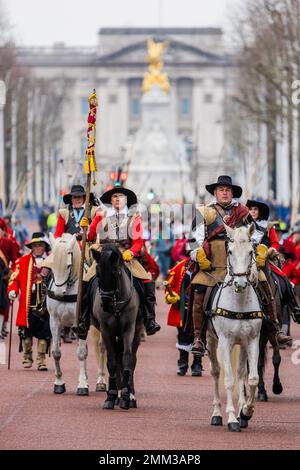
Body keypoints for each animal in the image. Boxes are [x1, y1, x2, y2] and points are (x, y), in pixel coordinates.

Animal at [91, 244, 144, 410]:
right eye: (98, 273)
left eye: (115, 273)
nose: (106, 304)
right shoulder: (106, 331)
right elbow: (112, 362)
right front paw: (112, 396)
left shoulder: (128, 329)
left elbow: (127, 359)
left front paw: (127, 396)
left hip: (136, 332)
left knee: (131, 360)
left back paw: (129, 395)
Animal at [207, 224, 262, 434]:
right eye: (229, 251)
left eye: (251, 251)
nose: (240, 283)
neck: (239, 302)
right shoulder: (224, 342)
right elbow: (228, 380)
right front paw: (231, 418)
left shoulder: (252, 340)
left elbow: (252, 378)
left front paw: (246, 412)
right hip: (211, 340)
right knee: (216, 372)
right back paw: (216, 414)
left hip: (242, 345)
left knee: (240, 373)